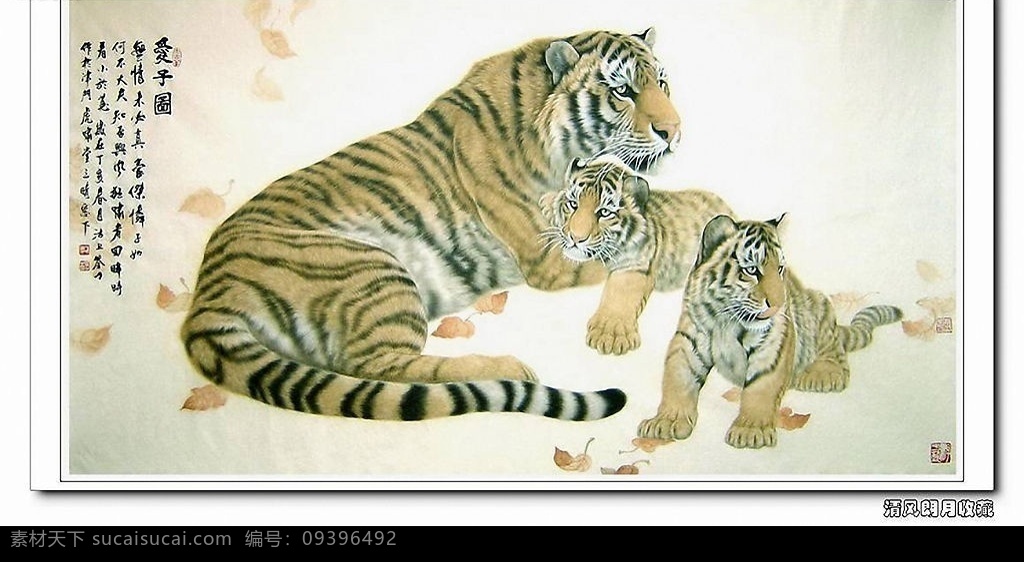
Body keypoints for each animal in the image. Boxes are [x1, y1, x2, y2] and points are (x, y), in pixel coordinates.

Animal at [180, 28, 684, 422]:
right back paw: (507, 368)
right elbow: (622, 256)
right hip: (373, 268)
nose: (675, 132)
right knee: (380, 369)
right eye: (623, 91)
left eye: (663, 83)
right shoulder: (549, 256)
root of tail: (207, 292)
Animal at [539, 156, 731, 355]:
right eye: (573, 204)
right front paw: (549, 201)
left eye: (604, 212)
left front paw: (609, 334)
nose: (576, 238)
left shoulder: (633, 265)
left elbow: (620, 293)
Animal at [637, 214, 903, 448]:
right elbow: (678, 381)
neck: (727, 319)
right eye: (752, 270)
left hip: (819, 309)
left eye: (780, 269)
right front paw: (667, 422)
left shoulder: (773, 342)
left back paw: (822, 375)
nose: (778, 304)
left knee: (835, 353)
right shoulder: (690, 339)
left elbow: (760, 388)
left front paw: (750, 432)